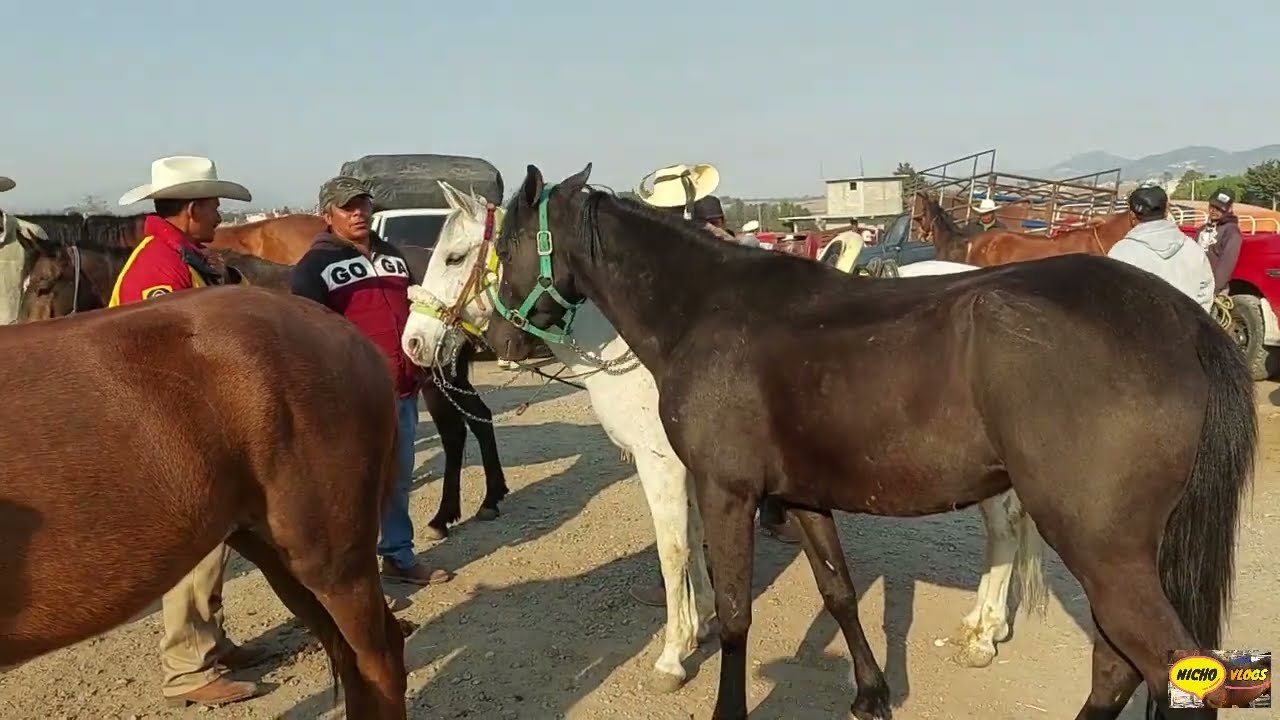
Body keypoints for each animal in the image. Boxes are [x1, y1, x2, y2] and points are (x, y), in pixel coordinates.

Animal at [15, 217, 509, 539]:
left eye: (42, 285)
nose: (18, 334)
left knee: (458, 430)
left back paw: (454, 511)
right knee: (477, 420)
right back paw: (485, 499)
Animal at [485, 163, 1256, 720]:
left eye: (501, 246)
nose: (498, 340)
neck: (706, 310)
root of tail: (1182, 320)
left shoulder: (725, 491)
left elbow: (733, 616)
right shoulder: (800, 495)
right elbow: (839, 591)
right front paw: (870, 693)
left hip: (1103, 549)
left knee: (1146, 664)